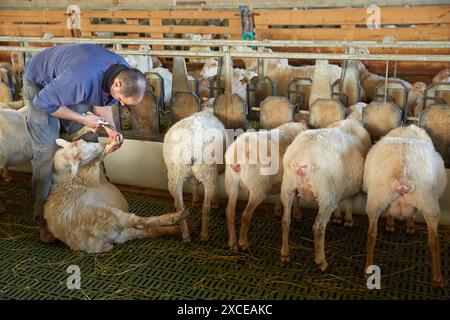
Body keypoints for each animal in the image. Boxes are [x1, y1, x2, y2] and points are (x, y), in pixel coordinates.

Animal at [44, 139, 185, 254]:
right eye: (84, 157)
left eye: (82, 141)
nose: (101, 144)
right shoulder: (90, 178)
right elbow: (96, 163)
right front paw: (109, 147)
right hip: (110, 215)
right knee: (139, 221)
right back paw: (177, 216)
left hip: (121, 233)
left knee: (146, 231)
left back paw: (177, 229)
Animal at [163, 109, 227, 240]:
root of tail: (189, 145)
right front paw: (214, 202)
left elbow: (194, 183)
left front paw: (195, 199)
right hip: (208, 171)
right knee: (206, 206)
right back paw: (204, 234)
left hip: (175, 174)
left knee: (180, 207)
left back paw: (186, 235)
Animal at [280, 119, 370, 270]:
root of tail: (304, 154)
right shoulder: (348, 185)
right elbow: (349, 201)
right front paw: (348, 219)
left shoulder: (337, 187)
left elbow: (341, 201)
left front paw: (338, 217)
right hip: (324, 195)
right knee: (318, 227)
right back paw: (321, 260)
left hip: (288, 187)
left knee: (286, 220)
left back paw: (285, 254)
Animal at [364, 125, 448, 288]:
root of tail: (403, 175)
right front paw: (408, 226)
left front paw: (392, 224)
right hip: (429, 203)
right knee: (434, 240)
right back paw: (438, 276)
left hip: (376, 200)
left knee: (372, 235)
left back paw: (368, 270)